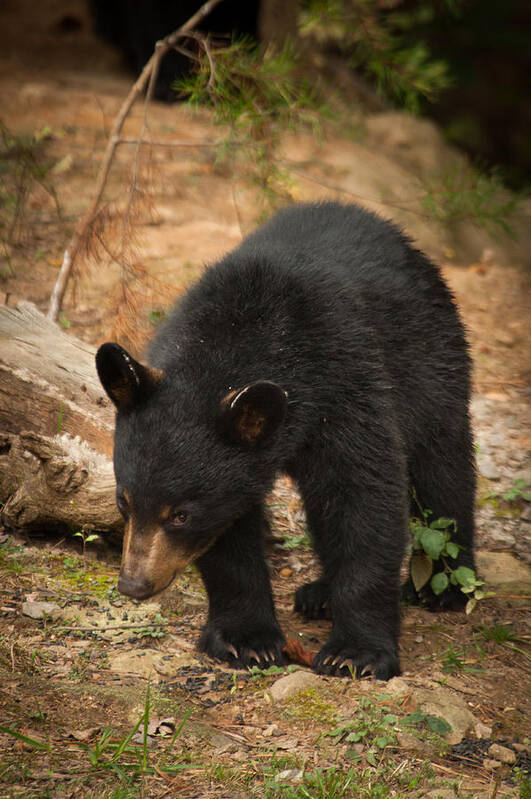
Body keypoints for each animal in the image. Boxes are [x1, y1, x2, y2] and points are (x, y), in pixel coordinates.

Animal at [96, 203, 478, 680]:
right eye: (123, 501)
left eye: (181, 515)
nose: (133, 584)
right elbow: (231, 537)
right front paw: (246, 641)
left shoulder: (347, 383)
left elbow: (363, 498)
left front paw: (356, 653)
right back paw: (319, 594)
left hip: (433, 359)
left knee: (442, 469)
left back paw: (444, 587)